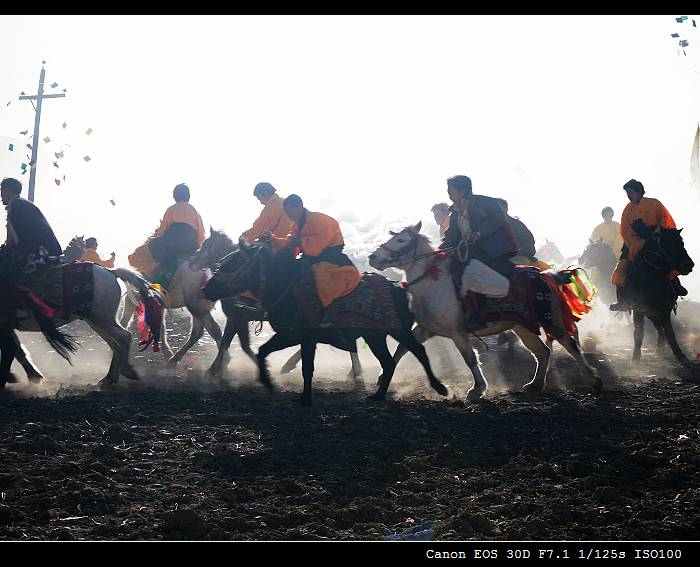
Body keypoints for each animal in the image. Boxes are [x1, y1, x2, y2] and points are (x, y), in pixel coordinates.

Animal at [202, 240, 446, 408]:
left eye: (232, 264)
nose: (206, 289)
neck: (286, 287)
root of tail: (401, 288)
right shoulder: (289, 335)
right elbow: (262, 351)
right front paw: (269, 382)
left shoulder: (305, 337)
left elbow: (306, 367)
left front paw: (305, 398)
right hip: (375, 336)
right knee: (389, 362)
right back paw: (377, 395)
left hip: (397, 330)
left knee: (418, 351)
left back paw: (440, 387)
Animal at [366, 224, 600, 402]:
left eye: (401, 240)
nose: (373, 257)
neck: (433, 283)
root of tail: (547, 275)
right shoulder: (425, 329)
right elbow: (402, 348)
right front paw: (382, 377)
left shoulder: (458, 332)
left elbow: (470, 358)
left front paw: (477, 389)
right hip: (522, 327)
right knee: (542, 352)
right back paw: (535, 384)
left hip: (552, 321)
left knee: (571, 345)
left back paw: (592, 379)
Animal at [624, 227, 696, 364]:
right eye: (670, 244)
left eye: (682, 243)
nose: (689, 265)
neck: (652, 281)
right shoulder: (638, 309)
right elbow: (638, 332)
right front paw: (635, 357)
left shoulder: (665, 310)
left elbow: (670, 332)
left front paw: (680, 355)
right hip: (648, 312)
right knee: (656, 325)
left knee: (659, 326)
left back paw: (661, 346)